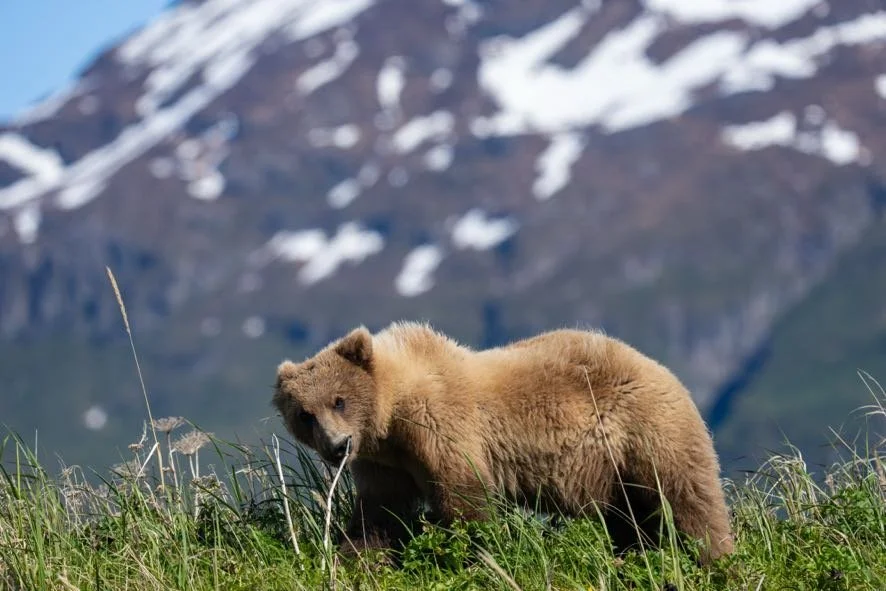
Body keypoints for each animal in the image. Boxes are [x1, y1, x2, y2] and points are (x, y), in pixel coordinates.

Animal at [273, 322, 734, 562]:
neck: (393, 415)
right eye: (304, 415)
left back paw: (716, 561)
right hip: (612, 474)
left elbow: (466, 501)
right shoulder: (386, 463)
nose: (337, 446)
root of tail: (660, 368)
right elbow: (378, 516)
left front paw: (475, 556)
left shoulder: (441, 428)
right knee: (630, 519)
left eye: (339, 399)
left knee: (688, 500)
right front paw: (354, 559)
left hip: (646, 433)